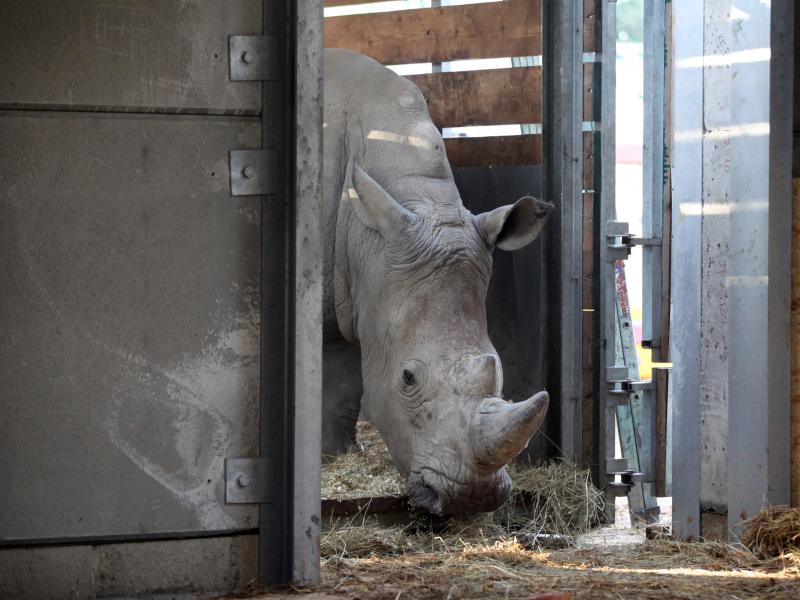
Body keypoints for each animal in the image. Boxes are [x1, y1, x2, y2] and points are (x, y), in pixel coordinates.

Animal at [322, 49, 552, 515]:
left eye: (499, 369)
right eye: (408, 378)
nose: (472, 498)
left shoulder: (354, 297)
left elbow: (341, 388)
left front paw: (333, 456)